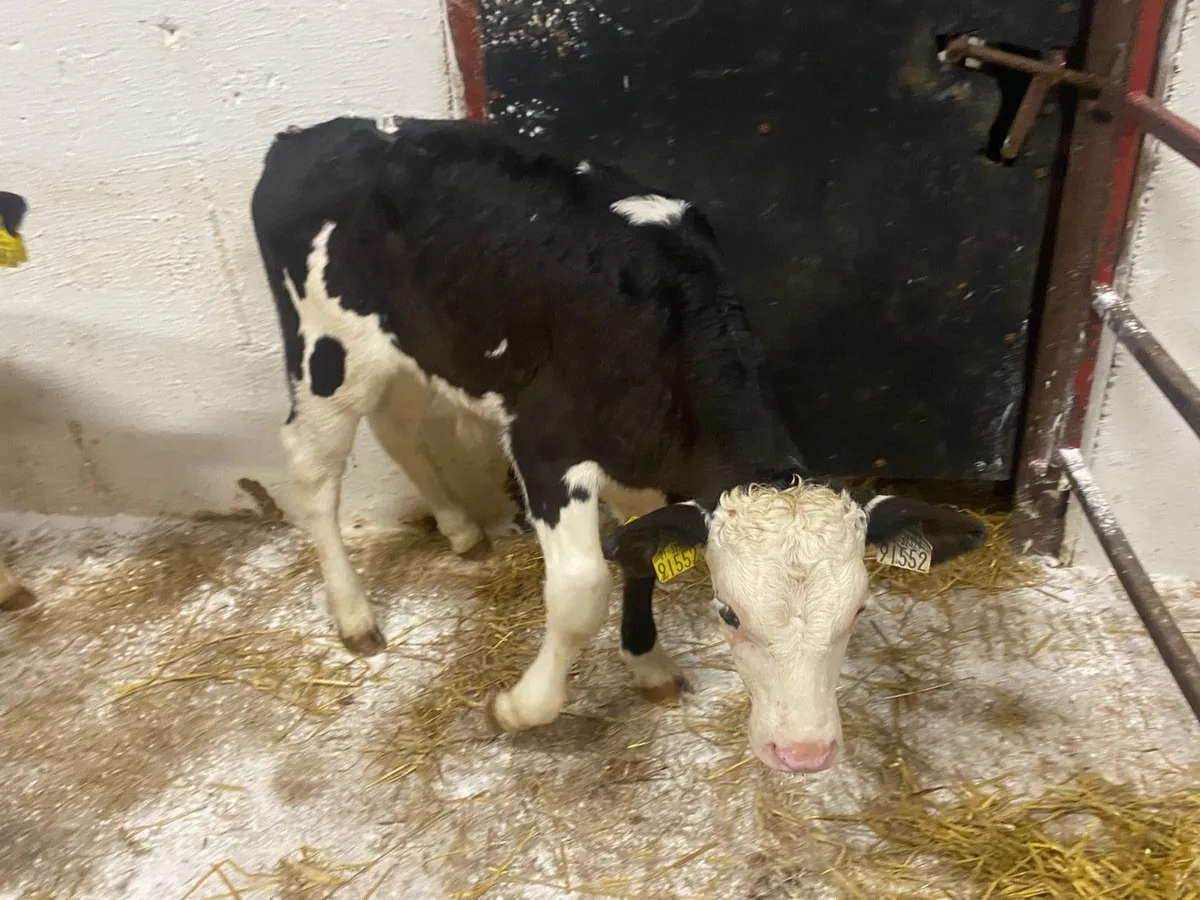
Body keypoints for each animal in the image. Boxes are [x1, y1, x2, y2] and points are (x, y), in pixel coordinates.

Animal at [249, 116, 987, 773]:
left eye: (858, 611)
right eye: (728, 613)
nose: (804, 754)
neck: (664, 323)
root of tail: (305, 137)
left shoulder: (650, 467)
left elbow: (639, 555)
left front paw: (648, 663)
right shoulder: (545, 451)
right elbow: (582, 590)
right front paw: (518, 708)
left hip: (406, 351)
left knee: (398, 426)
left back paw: (459, 529)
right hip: (325, 353)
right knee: (313, 473)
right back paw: (353, 615)